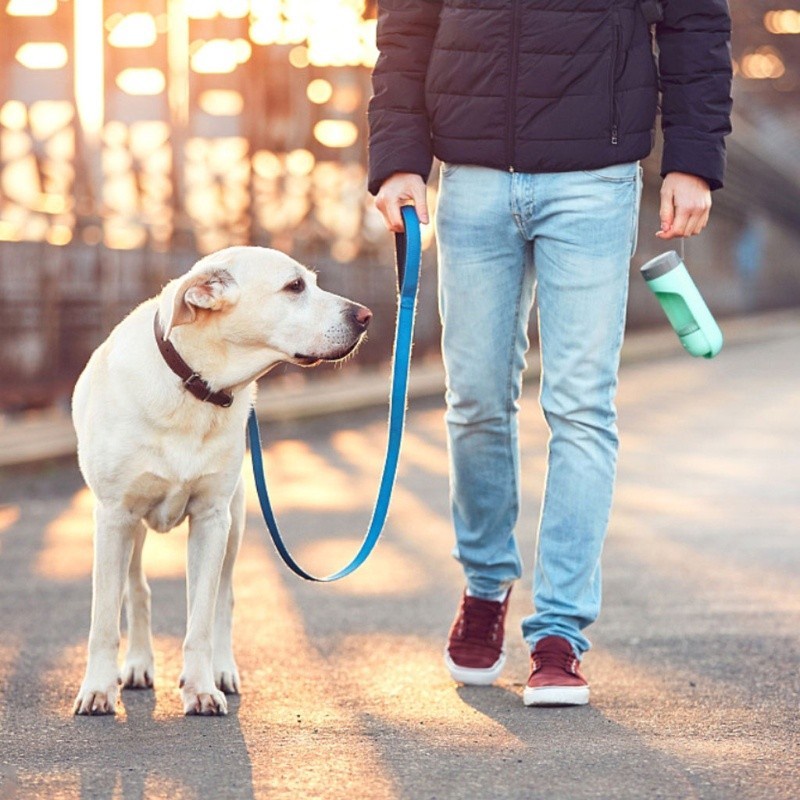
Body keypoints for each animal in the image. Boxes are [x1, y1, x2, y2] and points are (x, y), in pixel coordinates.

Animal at [72, 247, 372, 716]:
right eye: (295, 287)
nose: (366, 316)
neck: (195, 386)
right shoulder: (114, 517)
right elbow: (103, 618)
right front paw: (98, 689)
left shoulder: (212, 520)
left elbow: (201, 619)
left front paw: (200, 687)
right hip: (132, 530)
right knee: (136, 590)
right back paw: (138, 664)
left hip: (235, 522)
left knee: (223, 600)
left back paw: (222, 670)